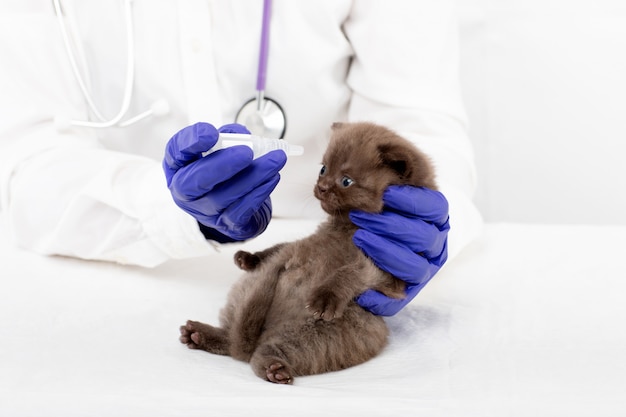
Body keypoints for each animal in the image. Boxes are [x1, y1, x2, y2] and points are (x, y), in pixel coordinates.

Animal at [178, 120, 436, 384]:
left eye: (346, 181)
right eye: (323, 169)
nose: (321, 187)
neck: (345, 228)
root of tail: (253, 342)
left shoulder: (384, 265)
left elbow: (350, 273)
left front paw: (325, 297)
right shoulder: (303, 244)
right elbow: (279, 247)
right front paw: (250, 257)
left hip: (319, 332)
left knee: (265, 352)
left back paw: (273, 368)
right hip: (244, 294)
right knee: (232, 339)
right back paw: (199, 334)